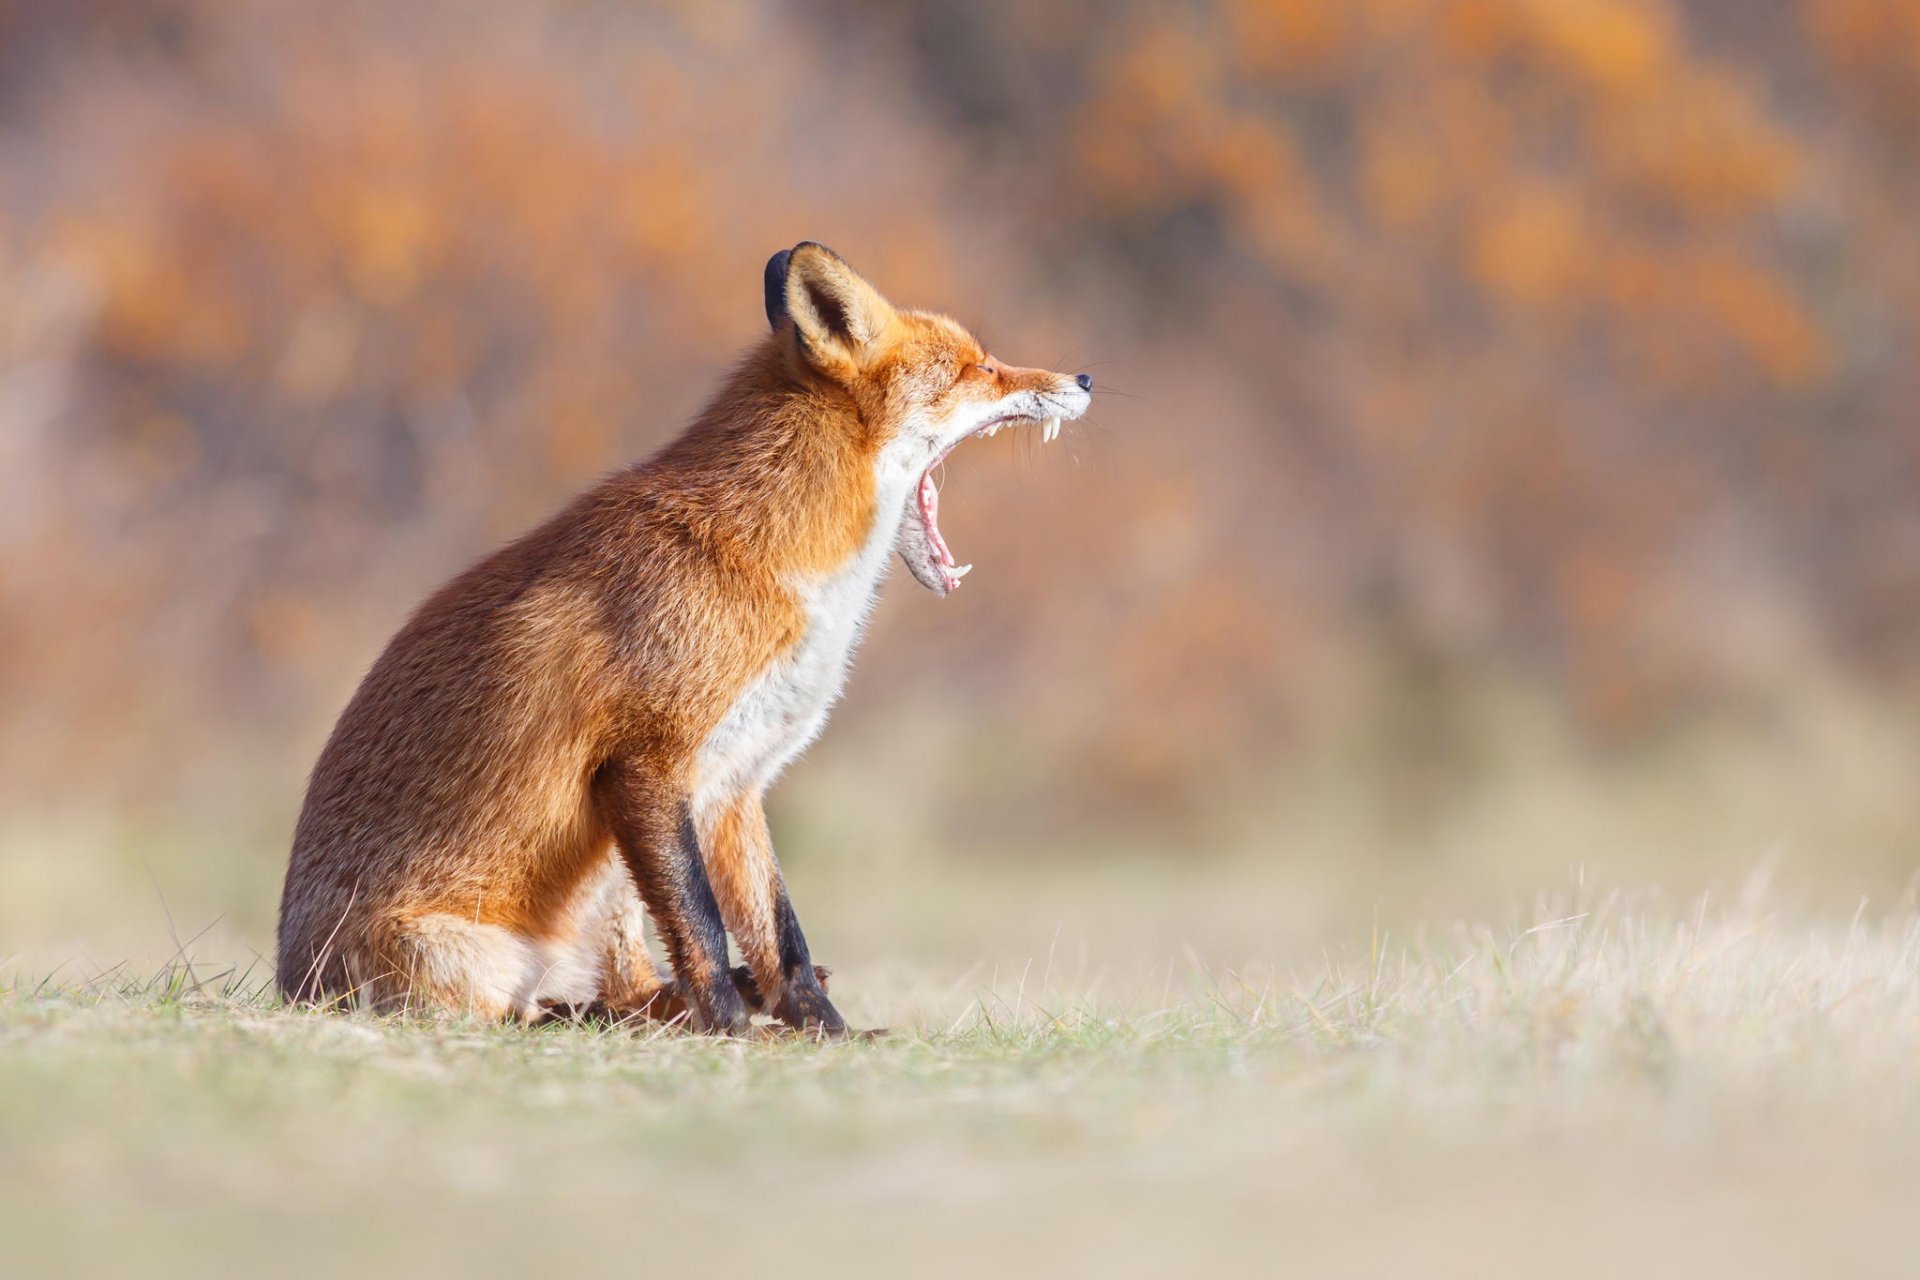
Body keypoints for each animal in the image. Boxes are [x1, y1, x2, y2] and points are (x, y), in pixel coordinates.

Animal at [275, 242, 1092, 1034]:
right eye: (978, 367)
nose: (1084, 377)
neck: (777, 562)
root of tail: (292, 984)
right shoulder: (646, 763)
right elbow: (701, 925)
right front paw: (730, 1029)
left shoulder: (735, 782)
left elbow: (781, 937)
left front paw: (824, 1032)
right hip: (481, 952)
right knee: (528, 1010)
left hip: (608, 886)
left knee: (626, 989)